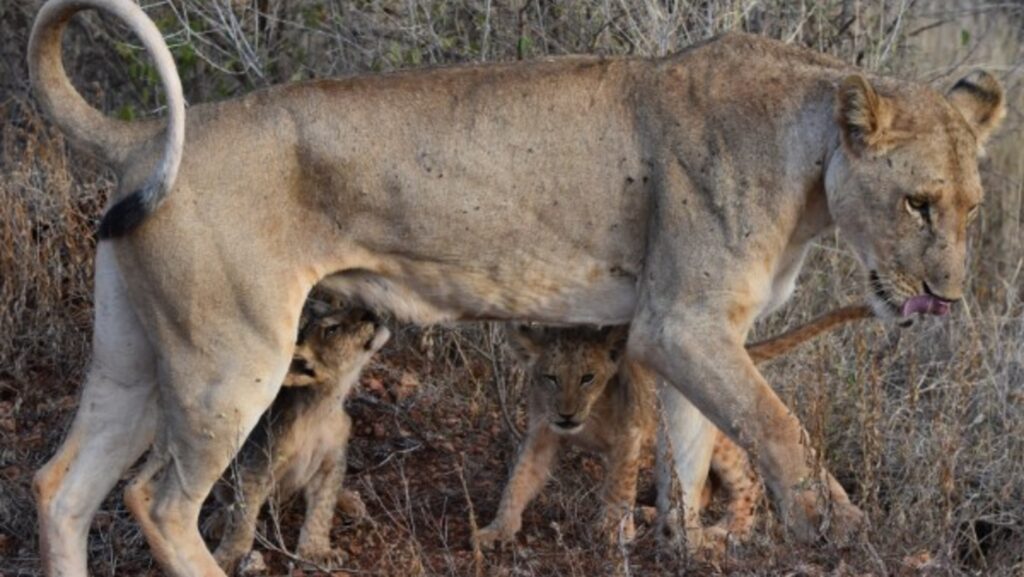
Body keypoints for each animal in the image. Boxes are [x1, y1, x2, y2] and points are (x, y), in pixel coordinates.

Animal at [211, 306, 388, 573]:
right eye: (332, 329)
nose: (371, 313)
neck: (322, 407)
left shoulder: (332, 463)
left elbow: (322, 510)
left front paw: (316, 551)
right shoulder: (257, 464)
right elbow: (242, 516)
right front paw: (229, 556)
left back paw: (350, 501)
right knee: (224, 499)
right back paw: (217, 521)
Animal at [476, 305, 871, 551]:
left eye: (588, 378)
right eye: (551, 377)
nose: (567, 415)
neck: (589, 413)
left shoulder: (629, 434)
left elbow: (617, 487)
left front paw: (611, 534)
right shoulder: (541, 434)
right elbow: (519, 481)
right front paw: (497, 531)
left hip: (716, 438)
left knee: (749, 482)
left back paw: (728, 531)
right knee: (703, 487)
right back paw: (660, 515)